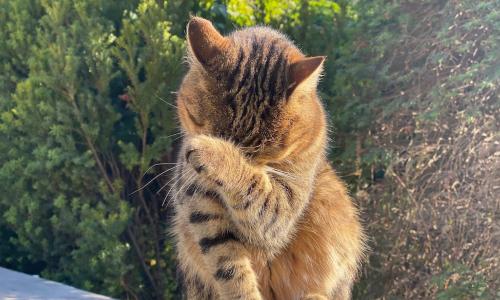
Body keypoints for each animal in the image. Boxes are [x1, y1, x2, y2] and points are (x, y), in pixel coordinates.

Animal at [171, 17, 364, 300]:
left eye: (262, 150)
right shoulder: (200, 204)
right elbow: (228, 266)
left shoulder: (281, 212)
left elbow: (256, 189)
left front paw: (215, 153)